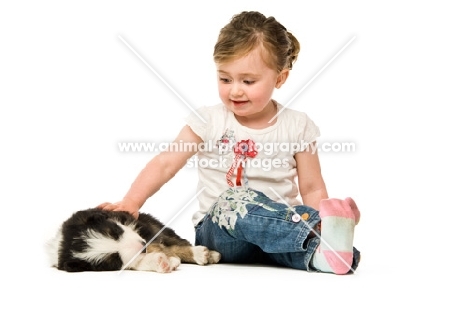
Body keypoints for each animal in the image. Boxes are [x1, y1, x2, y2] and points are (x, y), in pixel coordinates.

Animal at [47, 208, 221, 274]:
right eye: (114, 259)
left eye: (115, 232)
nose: (142, 246)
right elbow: (137, 261)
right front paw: (162, 262)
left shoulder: (141, 226)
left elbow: (161, 245)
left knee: (176, 241)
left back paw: (205, 254)